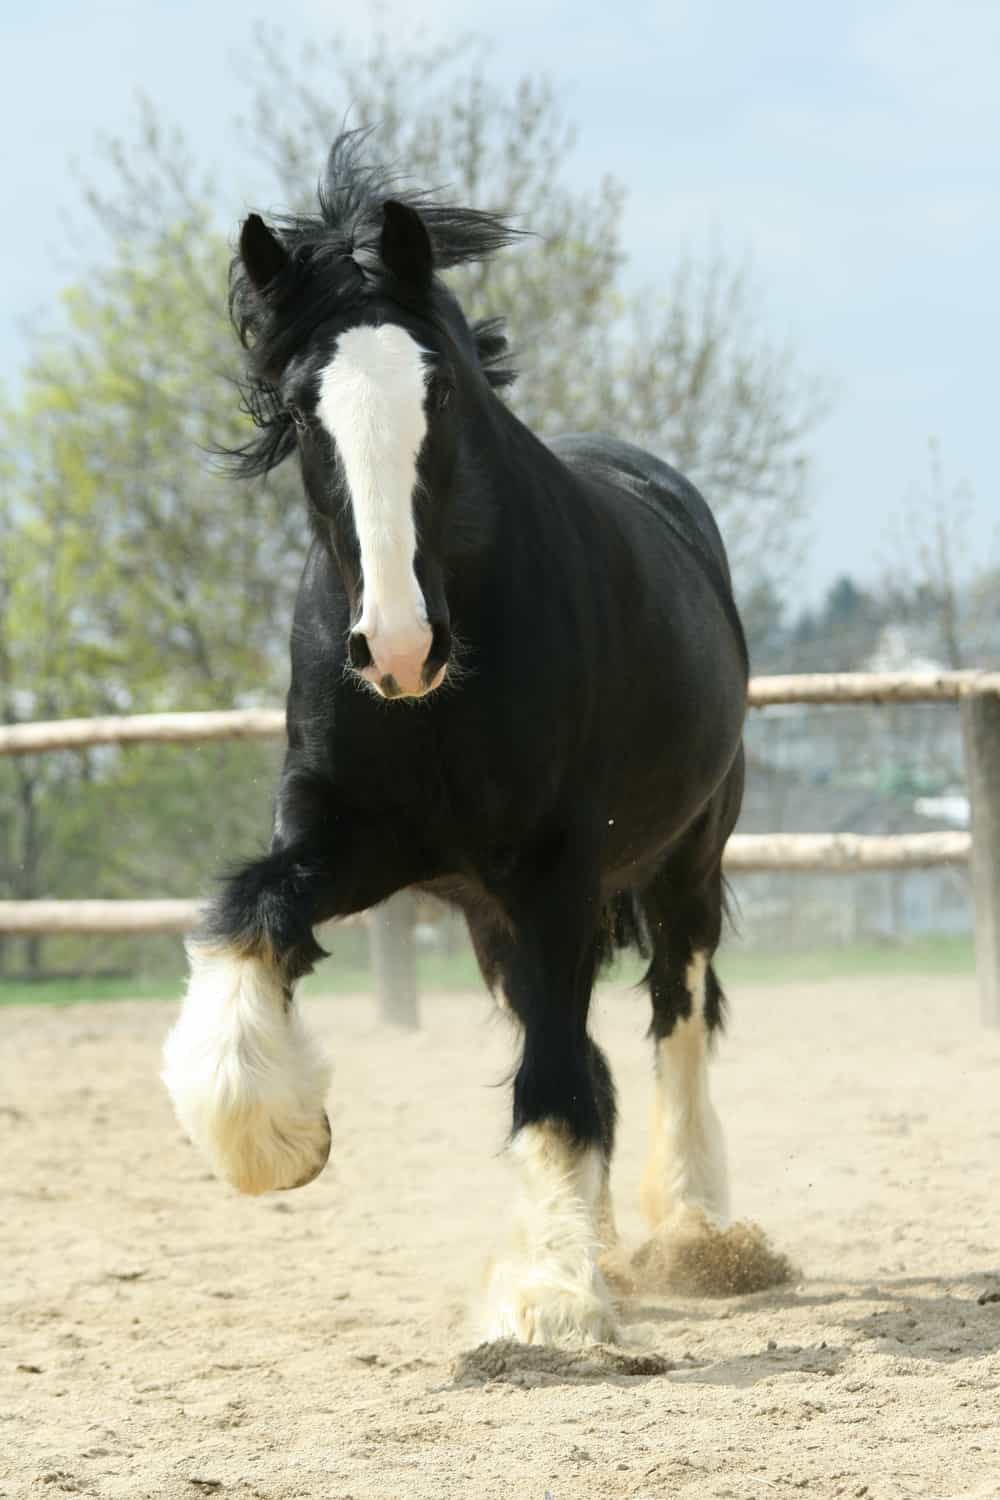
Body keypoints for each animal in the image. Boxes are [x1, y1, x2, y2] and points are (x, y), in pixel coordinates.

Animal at [162, 132, 749, 1346]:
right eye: (302, 410)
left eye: (437, 390)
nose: (397, 646)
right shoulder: (351, 839)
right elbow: (249, 914)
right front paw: (278, 1136)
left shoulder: (561, 867)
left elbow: (558, 1080)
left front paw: (549, 1296)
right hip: (490, 914)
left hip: (685, 857)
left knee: (676, 1015)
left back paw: (698, 1230)